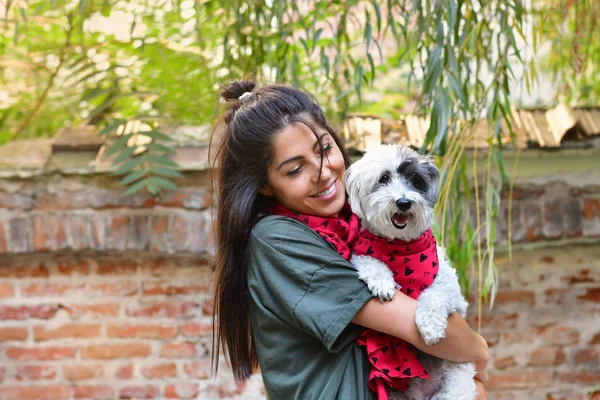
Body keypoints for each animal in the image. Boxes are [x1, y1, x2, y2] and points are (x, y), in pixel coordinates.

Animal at [344, 145, 476, 400]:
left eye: (416, 180)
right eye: (384, 178)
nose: (404, 202)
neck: (400, 246)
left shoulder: (451, 291)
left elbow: (435, 295)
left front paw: (431, 328)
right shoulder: (362, 254)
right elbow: (369, 262)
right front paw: (383, 284)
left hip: (459, 376)